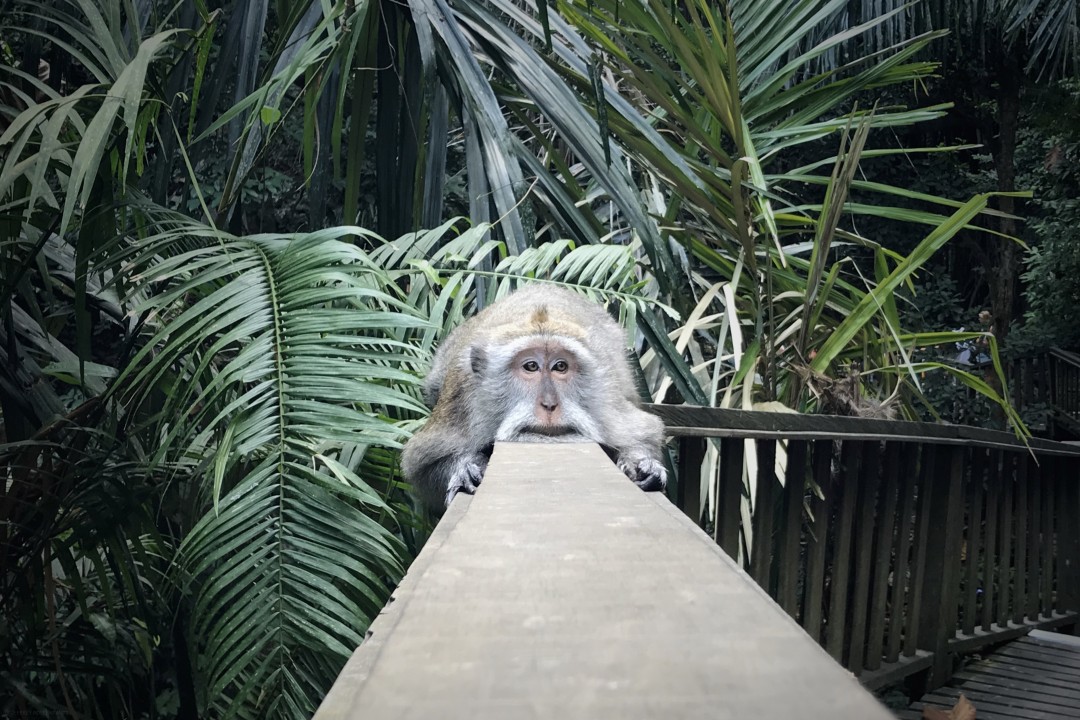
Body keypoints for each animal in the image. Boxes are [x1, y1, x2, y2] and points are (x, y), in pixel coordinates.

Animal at [401, 285, 668, 513]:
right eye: (530, 366)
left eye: (560, 366)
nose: (549, 404)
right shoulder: (462, 400)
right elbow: (422, 465)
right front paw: (465, 467)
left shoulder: (606, 400)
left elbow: (643, 432)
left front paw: (642, 464)